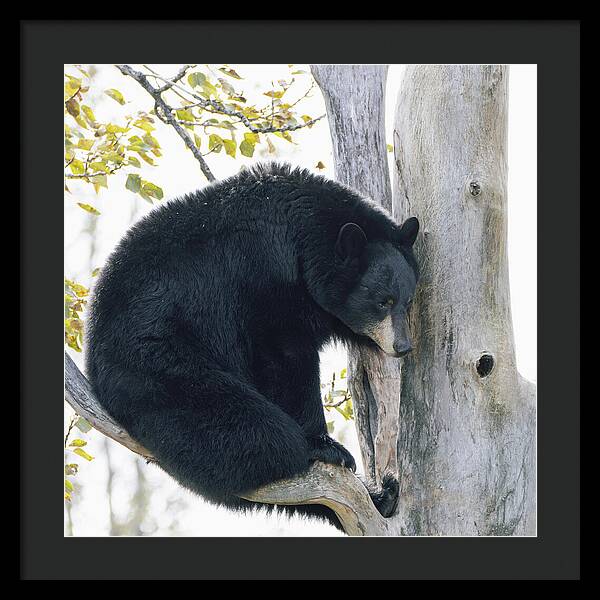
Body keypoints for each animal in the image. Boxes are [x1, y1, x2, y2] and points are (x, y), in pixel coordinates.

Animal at [86, 163, 420, 528]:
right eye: (382, 301)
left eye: (407, 301)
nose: (402, 346)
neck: (302, 240)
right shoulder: (263, 278)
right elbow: (284, 358)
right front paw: (324, 443)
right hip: (158, 363)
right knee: (255, 431)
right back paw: (305, 451)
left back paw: (382, 496)